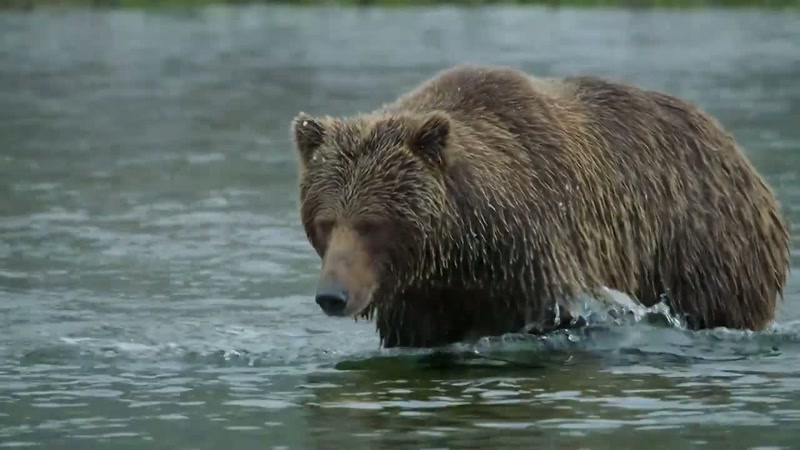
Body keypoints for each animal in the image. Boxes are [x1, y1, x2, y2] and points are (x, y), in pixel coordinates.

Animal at [289, 64, 790, 349]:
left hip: (704, 246)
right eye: (326, 222)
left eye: (373, 223)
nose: (332, 296)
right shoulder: (421, 299)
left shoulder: (535, 258)